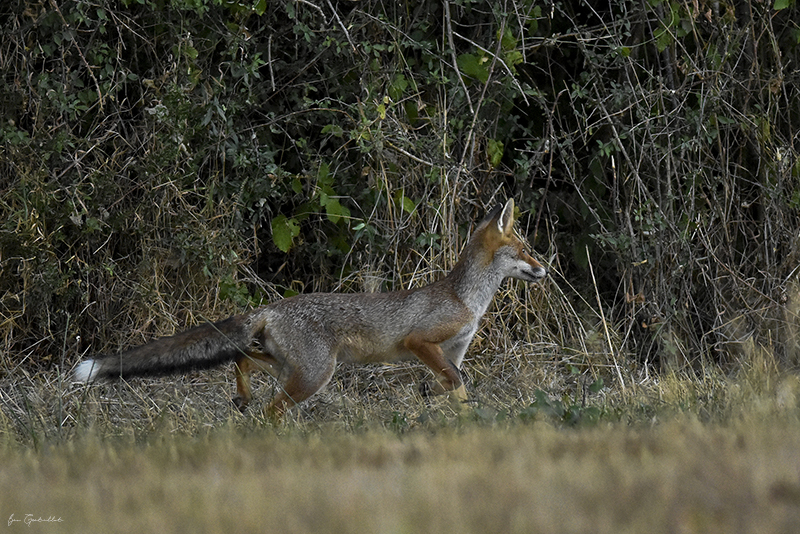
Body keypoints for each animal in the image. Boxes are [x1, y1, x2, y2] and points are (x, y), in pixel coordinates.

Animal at [73, 200, 544, 422]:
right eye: (525, 250)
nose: (545, 268)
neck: (466, 299)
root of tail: (272, 307)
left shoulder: (452, 353)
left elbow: (450, 388)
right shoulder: (420, 342)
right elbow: (457, 384)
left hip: (292, 368)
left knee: (243, 359)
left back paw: (243, 398)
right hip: (315, 374)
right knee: (271, 409)